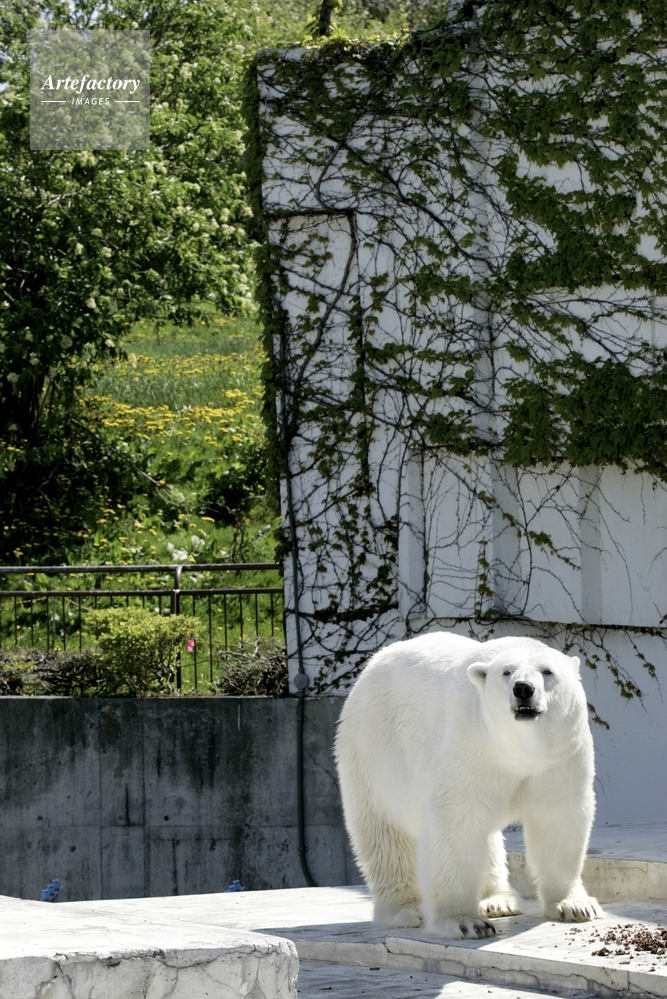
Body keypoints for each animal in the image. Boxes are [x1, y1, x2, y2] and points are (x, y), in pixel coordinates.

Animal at [335, 630, 602, 939]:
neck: (519, 750)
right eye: (506, 672)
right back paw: (404, 911)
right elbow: (457, 819)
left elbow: (557, 817)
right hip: (375, 750)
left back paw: (498, 901)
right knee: (385, 835)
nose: (523, 689)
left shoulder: (559, 759)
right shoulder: (472, 743)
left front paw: (574, 906)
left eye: (547, 671)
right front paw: (465, 922)